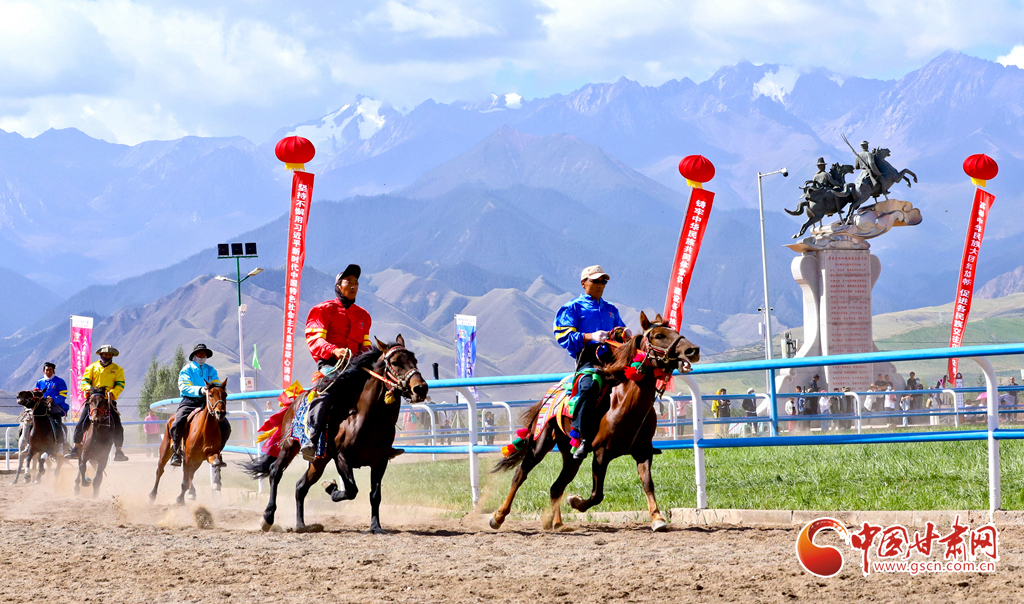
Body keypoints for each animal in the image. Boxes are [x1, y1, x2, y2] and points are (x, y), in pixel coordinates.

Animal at [242, 335, 429, 534]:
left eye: (414, 360)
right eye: (394, 362)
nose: (420, 388)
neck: (366, 418)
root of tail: (293, 403)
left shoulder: (380, 460)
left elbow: (375, 495)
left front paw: (376, 526)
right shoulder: (341, 456)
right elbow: (351, 490)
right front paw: (331, 487)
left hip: (319, 461)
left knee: (300, 486)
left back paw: (301, 525)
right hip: (290, 446)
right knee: (275, 472)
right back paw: (267, 517)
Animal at [490, 311, 700, 532]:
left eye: (674, 330)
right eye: (659, 335)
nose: (693, 350)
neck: (626, 403)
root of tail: (550, 395)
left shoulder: (643, 451)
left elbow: (648, 484)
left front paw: (657, 518)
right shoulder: (600, 454)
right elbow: (597, 494)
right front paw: (575, 501)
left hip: (571, 456)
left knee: (557, 486)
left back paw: (556, 522)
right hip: (540, 444)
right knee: (520, 474)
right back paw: (498, 516)